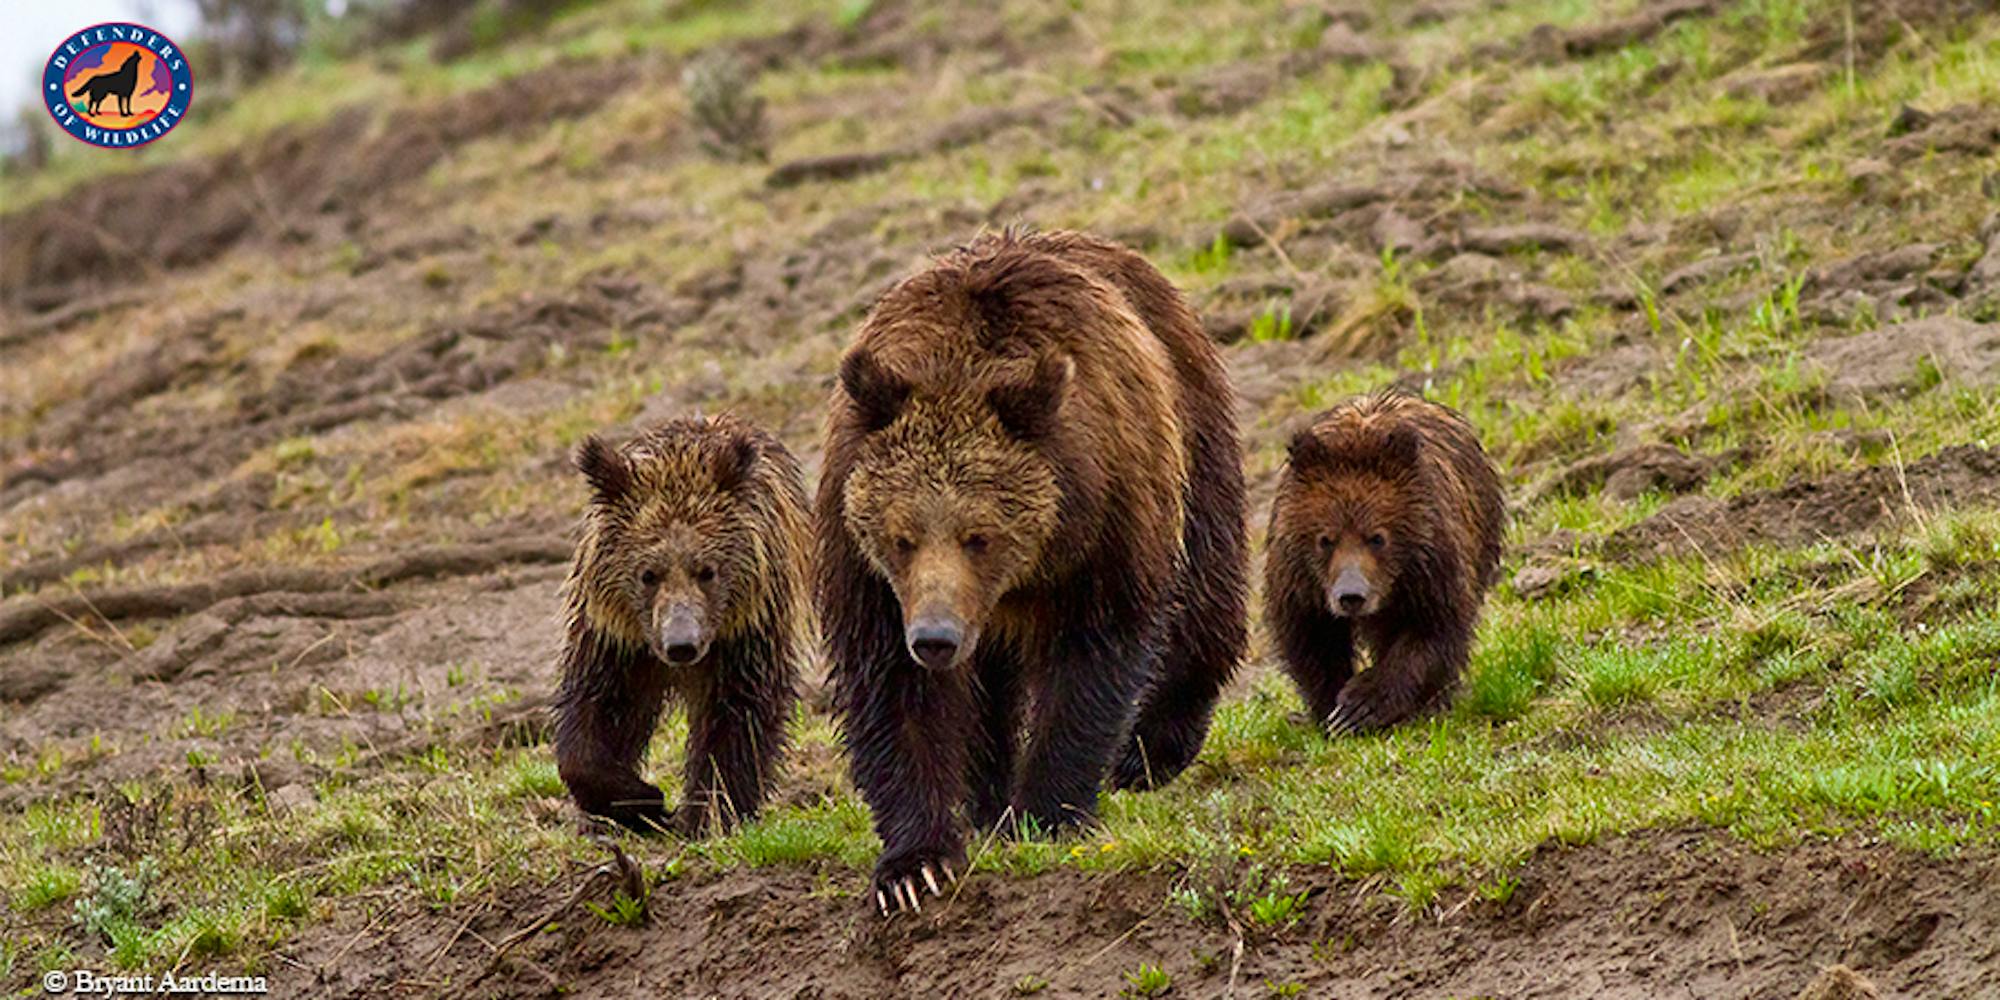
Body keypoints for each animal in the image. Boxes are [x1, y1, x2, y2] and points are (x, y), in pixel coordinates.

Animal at [552, 414, 808, 836]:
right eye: (647, 574)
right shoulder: (616, 640)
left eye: (708, 571)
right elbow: (596, 714)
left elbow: (738, 720)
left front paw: (709, 814)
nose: (681, 644)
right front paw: (642, 798)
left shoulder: (744, 637)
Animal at [820, 229, 1240, 916]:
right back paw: (987, 797)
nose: (935, 638)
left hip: (1194, 431)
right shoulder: (866, 566)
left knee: (1206, 584)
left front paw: (1045, 813)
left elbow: (1092, 657)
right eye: (902, 537)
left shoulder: (1107, 515)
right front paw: (915, 865)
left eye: (979, 536)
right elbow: (894, 691)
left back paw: (1153, 748)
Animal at [1264, 390, 1504, 736]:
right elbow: (1312, 639)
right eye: (1326, 539)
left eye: (1377, 537)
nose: (1351, 596)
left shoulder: (1432, 567)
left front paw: (1360, 707)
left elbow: (1431, 631)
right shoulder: (1300, 581)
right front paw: (1330, 711)